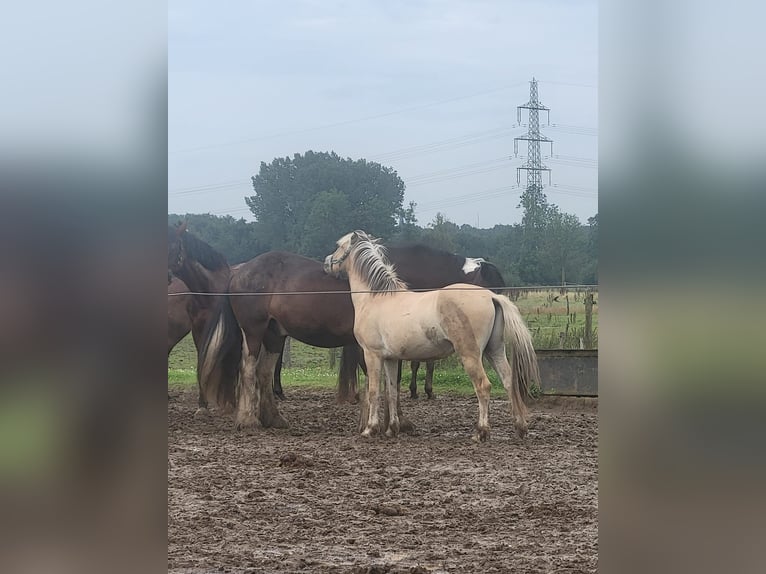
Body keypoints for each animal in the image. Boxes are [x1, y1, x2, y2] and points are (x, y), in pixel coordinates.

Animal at [324, 232, 540, 444]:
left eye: (339, 245)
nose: (327, 263)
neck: (375, 298)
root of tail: (490, 296)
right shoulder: (391, 359)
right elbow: (392, 392)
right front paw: (392, 429)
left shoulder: (372, 355)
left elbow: (374, 392)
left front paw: (370, 429)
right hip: (494, 350)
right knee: (508, 381)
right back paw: (520, 428)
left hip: (470, 355)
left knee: (483, 386)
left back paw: (481, 432)